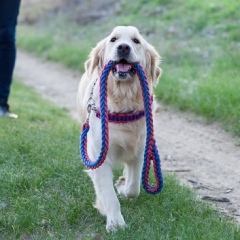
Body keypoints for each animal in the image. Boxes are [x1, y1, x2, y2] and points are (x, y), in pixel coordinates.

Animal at [78, 25, 162, 232]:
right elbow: (108, 194)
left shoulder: (140, 151)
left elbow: (134, 187)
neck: (124, 102)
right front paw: (115, 221)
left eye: (136, 41)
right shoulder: (100, 156)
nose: (123, 48)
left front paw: (123, 186)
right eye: (113, 39)